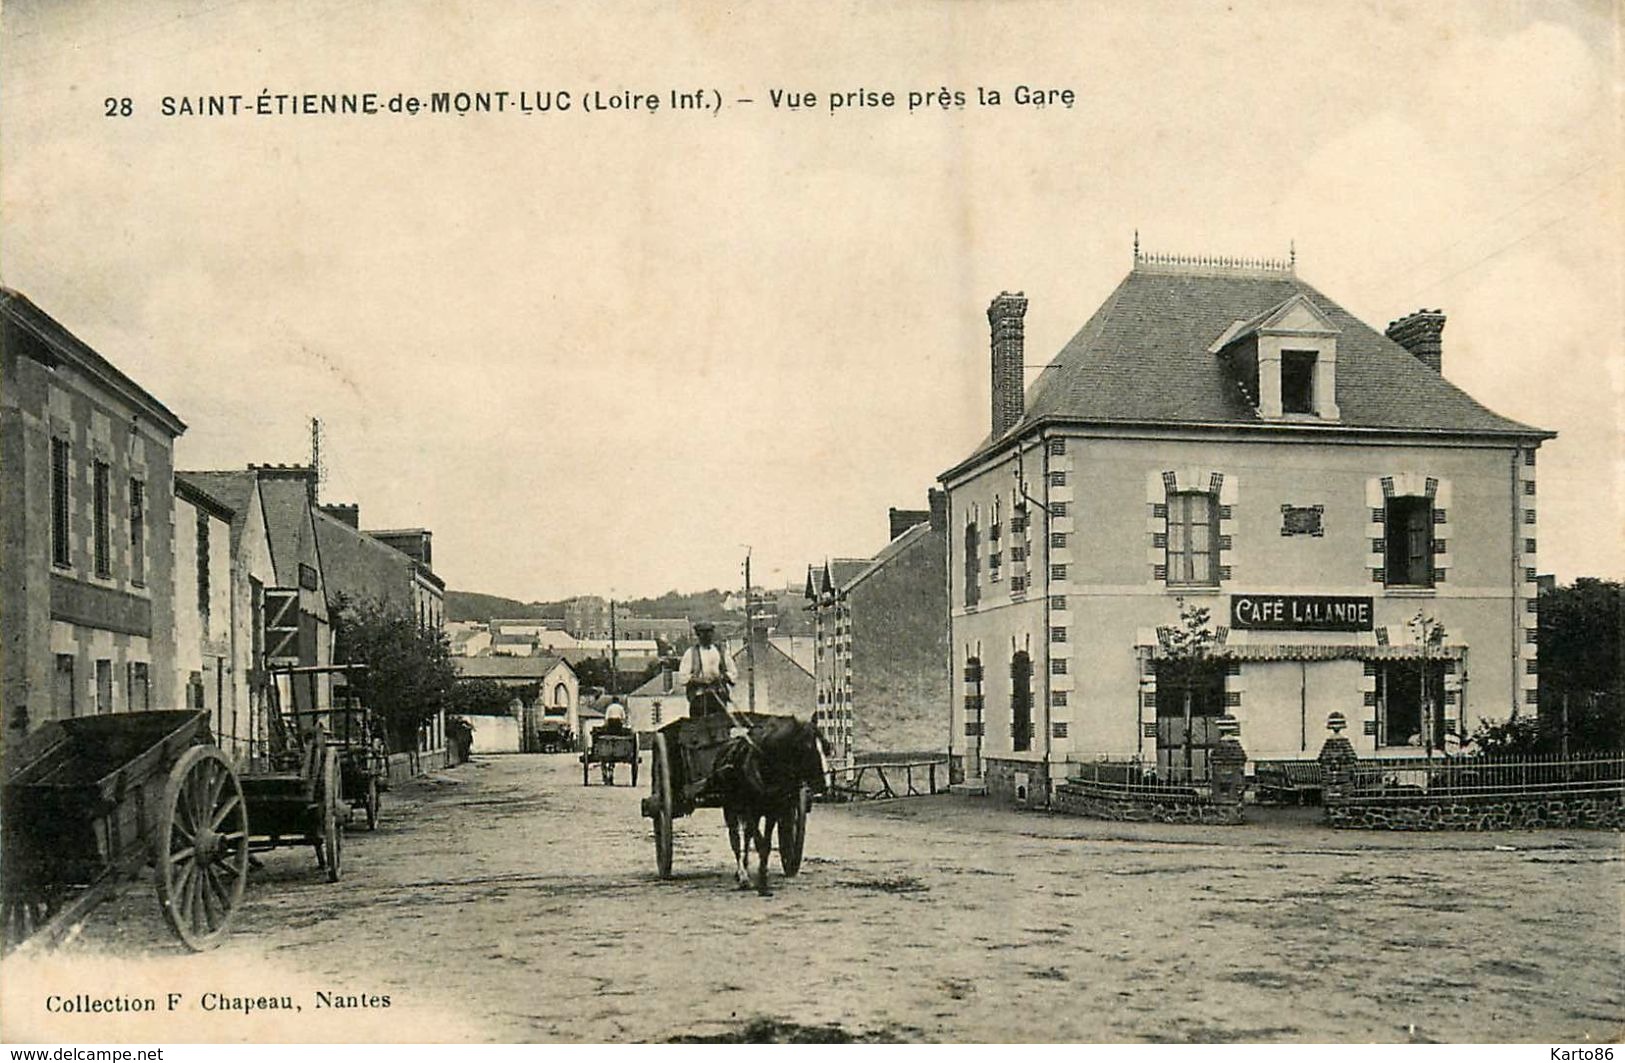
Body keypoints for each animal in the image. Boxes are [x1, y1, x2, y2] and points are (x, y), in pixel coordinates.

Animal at [711, 715, 832, 897]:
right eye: (806, 747)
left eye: (826, 747)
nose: (825, 784)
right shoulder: (749, 810)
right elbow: (759, 843)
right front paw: (759, 882)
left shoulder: (773, 811)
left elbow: (765, 845)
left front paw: (763, 880)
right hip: (730, 808)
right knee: (736, 839)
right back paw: (742, 876)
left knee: (747, 836)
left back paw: (745, 868)